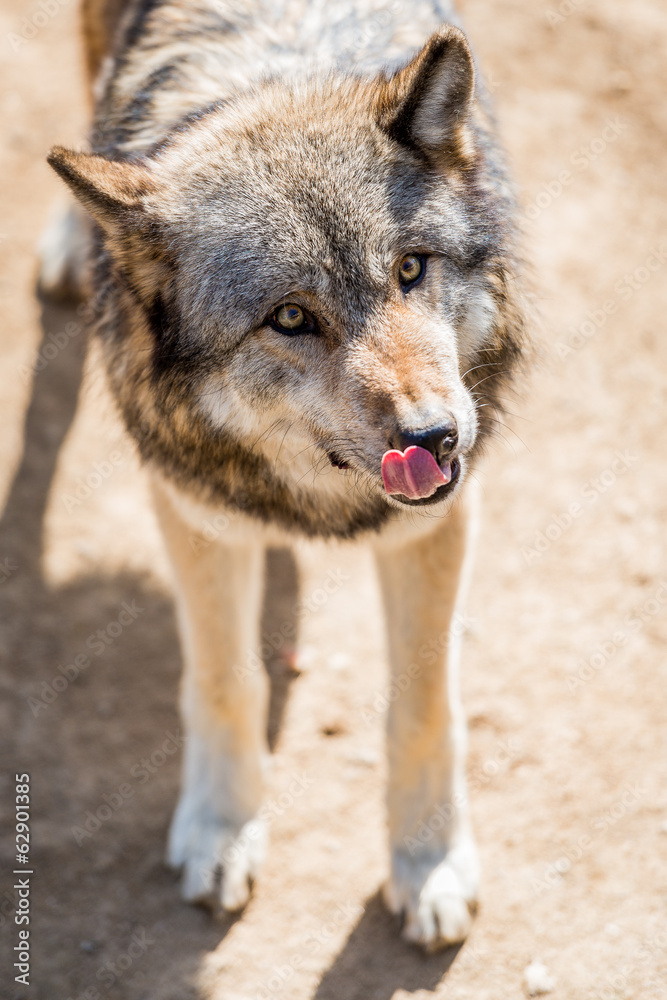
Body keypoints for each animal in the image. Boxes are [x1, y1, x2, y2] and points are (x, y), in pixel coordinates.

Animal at [44, 0, 526, 950]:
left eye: (409, 268)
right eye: (291, 318)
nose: (438, 438)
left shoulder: (433, 524)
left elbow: (424, 706)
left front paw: (427, 863)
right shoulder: (199, 514)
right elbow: (227, 682)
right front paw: (222, 831)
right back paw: (75, 240)